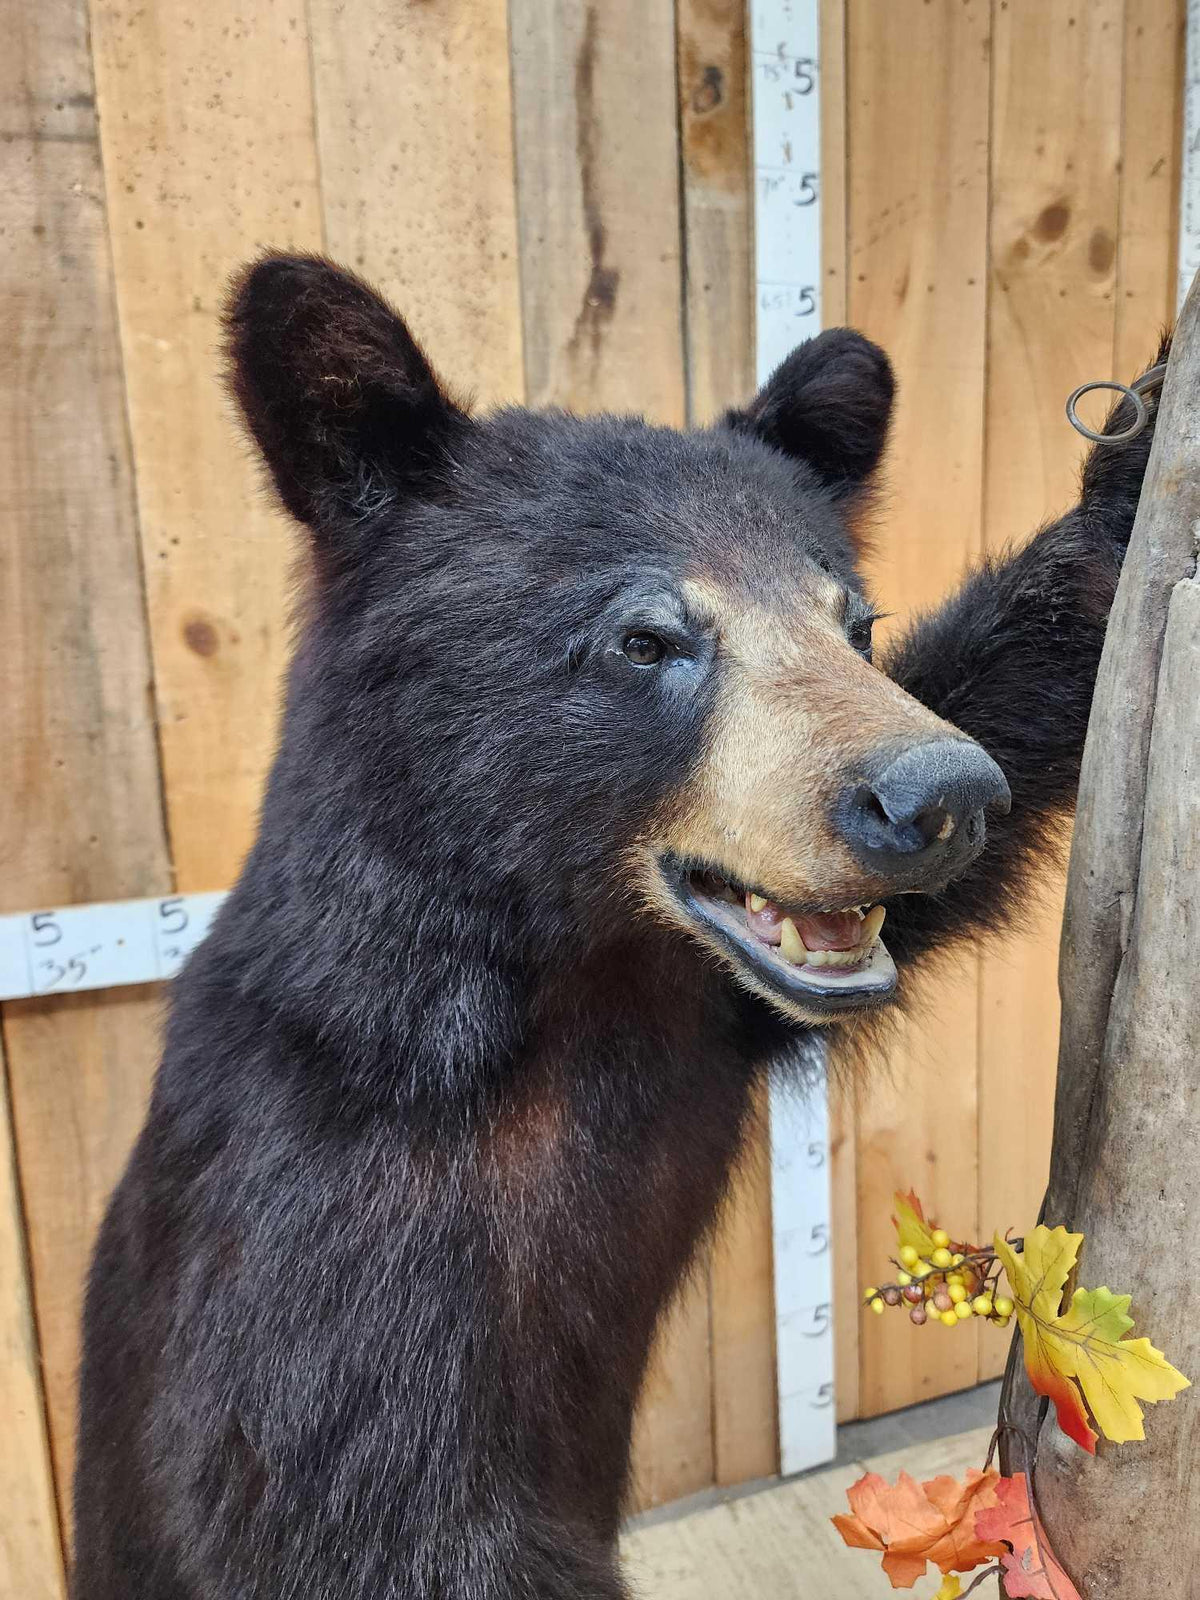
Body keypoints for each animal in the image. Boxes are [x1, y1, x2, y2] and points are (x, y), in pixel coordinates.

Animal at [71, 253, 1162, 1599]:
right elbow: (362, 1516)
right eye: (648, 636)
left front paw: (1135, 456)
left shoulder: (701, 1010)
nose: (938, 796)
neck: (562, 978)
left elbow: (1008, 676)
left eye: (853, 621)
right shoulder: (317, 1236)